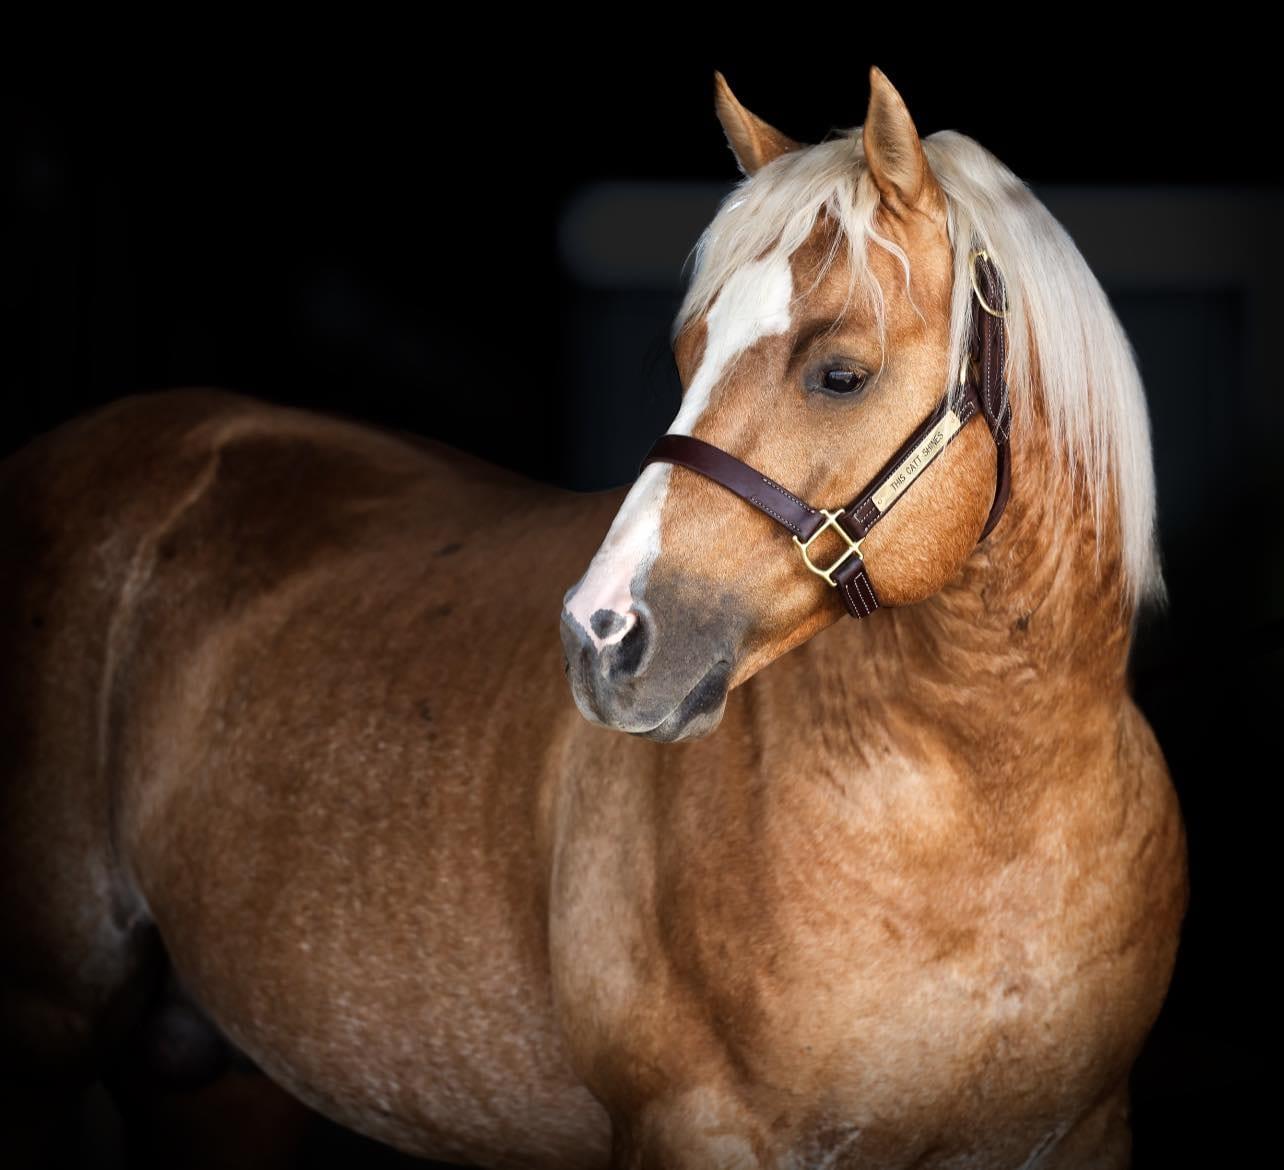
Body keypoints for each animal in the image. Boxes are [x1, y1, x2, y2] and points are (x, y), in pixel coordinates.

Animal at [1, 66, 1188, 1169]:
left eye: (841, 374)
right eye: (689, 354)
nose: (601, 636)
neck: (991, 805)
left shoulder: (1085, 1134)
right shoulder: (699, 1132)